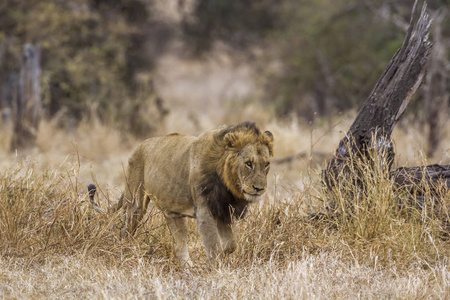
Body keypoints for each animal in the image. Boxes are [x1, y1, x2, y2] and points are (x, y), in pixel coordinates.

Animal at [89, 120, 274, 266]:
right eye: (248, 163)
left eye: (266, 164)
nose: (259, 189)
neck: (228, 183)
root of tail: (138, 147)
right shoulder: (205, 210)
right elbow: (213, 245)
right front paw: (213, 268)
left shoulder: (223, 210)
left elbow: (230, 246)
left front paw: (219, 259)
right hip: (135, 203)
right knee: (125, 230)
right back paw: (123, 251)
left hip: (173, 213)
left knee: (179, 247)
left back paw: (188, 268)